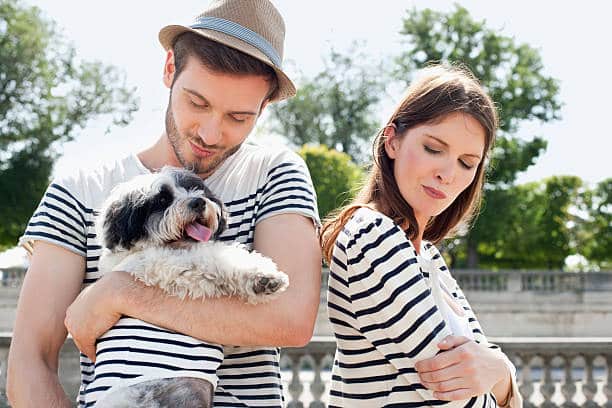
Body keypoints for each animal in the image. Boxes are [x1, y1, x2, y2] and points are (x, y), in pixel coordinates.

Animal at [88, 167, 290, 408]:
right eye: (162, 200)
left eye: (195, 188)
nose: (198, 202)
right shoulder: (177, 269)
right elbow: (216, 257)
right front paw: (263, 276)